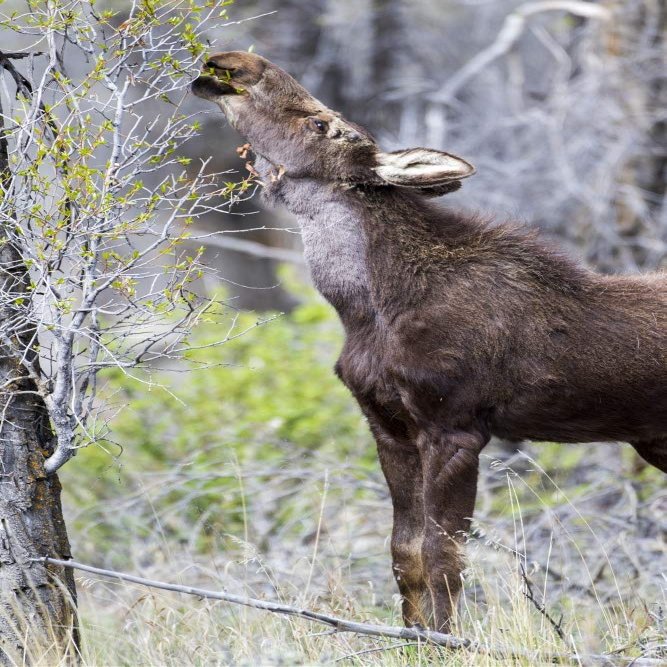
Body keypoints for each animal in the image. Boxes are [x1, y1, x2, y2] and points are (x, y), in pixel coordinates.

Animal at [191, 51, 667, 633]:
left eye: (322, 124)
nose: (235, 63)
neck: (366, 307)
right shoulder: (389, 427)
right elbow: (405, 554)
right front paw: (414, 635)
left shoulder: (455, 428)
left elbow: (443, 558)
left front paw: (446, 639)